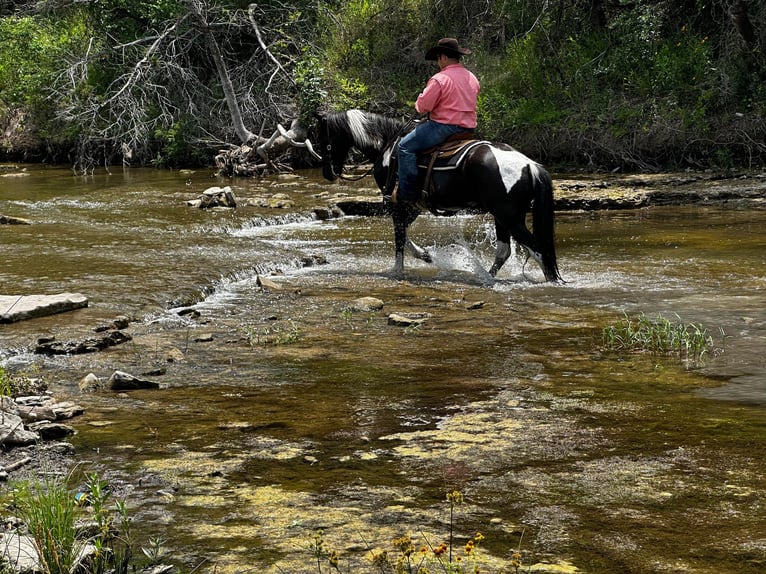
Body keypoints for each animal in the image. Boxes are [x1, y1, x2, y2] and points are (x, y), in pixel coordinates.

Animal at [316, 110, 560, 284]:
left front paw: (400, 269)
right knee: (504, 251)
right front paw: (426, 255)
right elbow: (404, 233)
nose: (327, 173)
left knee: (539, 251)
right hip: (502, 216)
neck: (388, 147)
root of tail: (529, 164)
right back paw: (486, 277)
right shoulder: (413, 206)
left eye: (323, 138)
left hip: (508, 216)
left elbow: (400, 237)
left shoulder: (398, 203)